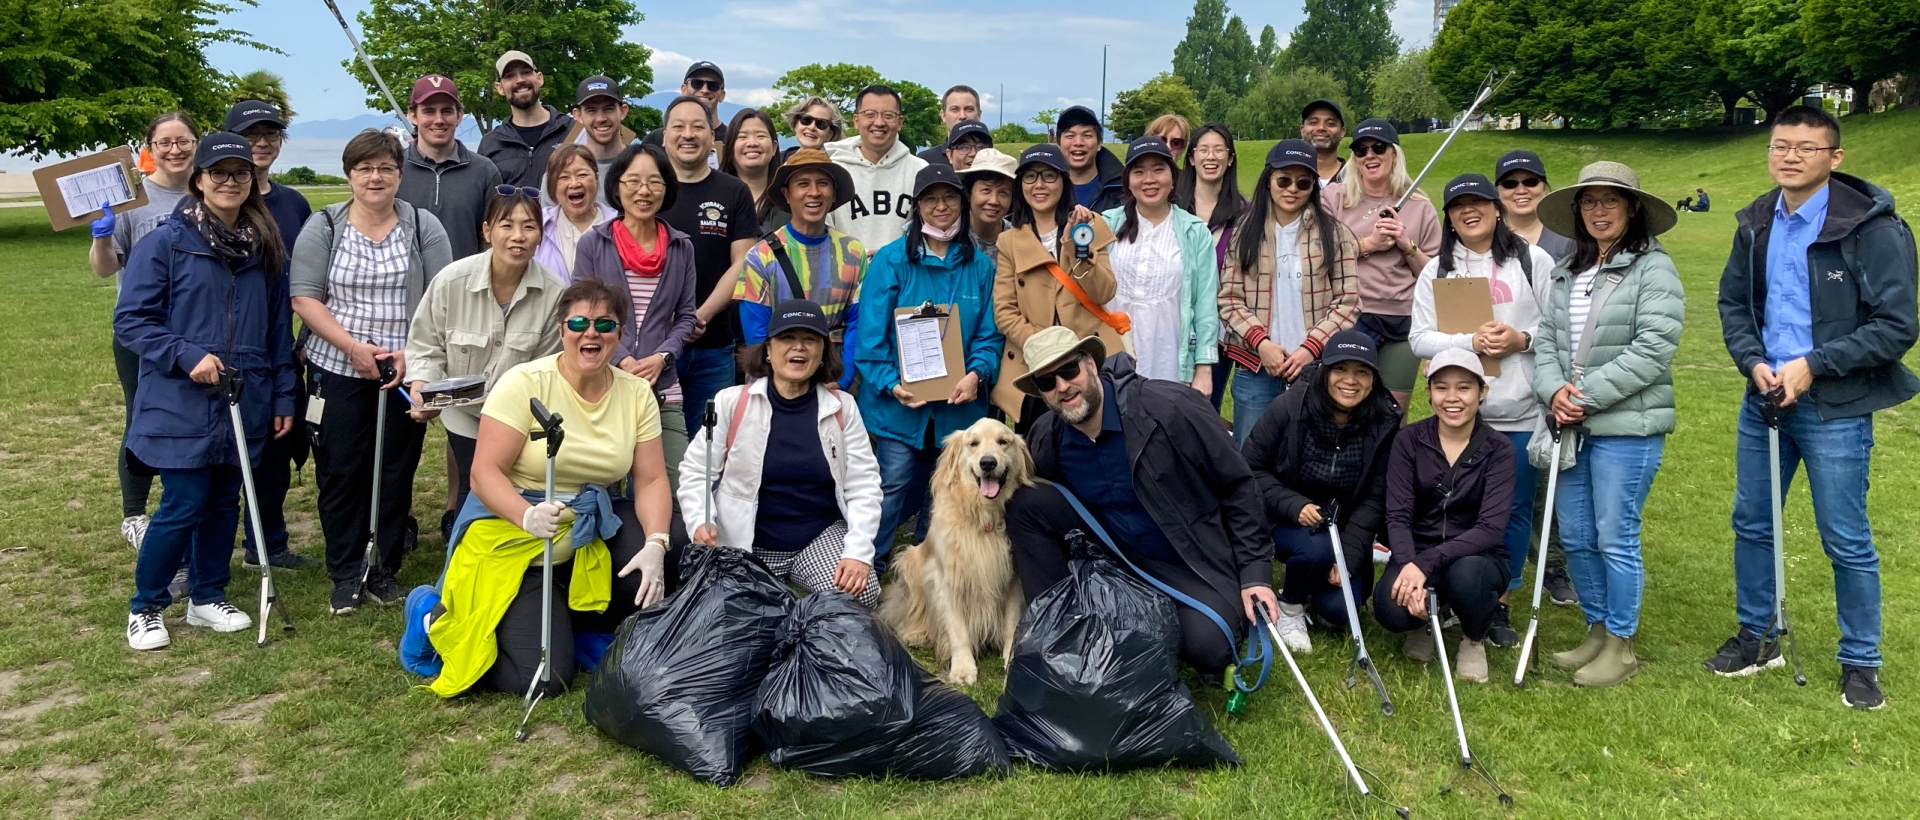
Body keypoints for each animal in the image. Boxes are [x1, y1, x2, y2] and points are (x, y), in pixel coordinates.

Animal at [879, 420, 1036, 683]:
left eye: (1004, 442)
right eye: (973, 443)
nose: (987, 463)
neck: (984, 517)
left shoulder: (1013, 577)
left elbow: (1011, 623)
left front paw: (1011, 657)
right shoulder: (946, 578)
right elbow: (957, 629)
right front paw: (963, 668)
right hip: (910, 561)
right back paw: (916, 634)